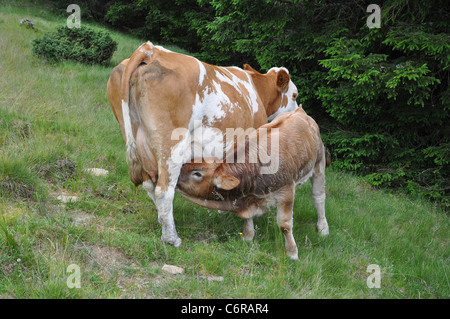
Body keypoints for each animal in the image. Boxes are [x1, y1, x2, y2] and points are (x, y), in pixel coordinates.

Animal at [106, 42, 298, 248]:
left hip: (137, 141)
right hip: (171, 147)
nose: (296, 114)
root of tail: (151, 49)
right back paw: (172, 238)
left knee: (149, 184)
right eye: (295, 95)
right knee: (163, 191)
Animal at [177, 106, 330, 262]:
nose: (175, 176)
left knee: (319, 197)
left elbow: (285, 225)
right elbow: (248, 219)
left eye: (197, 173)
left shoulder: (286, 192)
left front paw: (292, 253)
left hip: (319, 165)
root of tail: (299, 110)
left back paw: (323, 228)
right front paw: (248, 237)